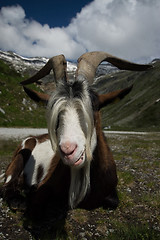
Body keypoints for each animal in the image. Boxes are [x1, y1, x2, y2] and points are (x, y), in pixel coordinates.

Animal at [1, 51, 151, 216]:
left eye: (94, 107)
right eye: (56, 113)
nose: (68, 150)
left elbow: (113, 201)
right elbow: (37, 205)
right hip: (21, 153)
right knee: (8, 183)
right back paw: (17, 200)